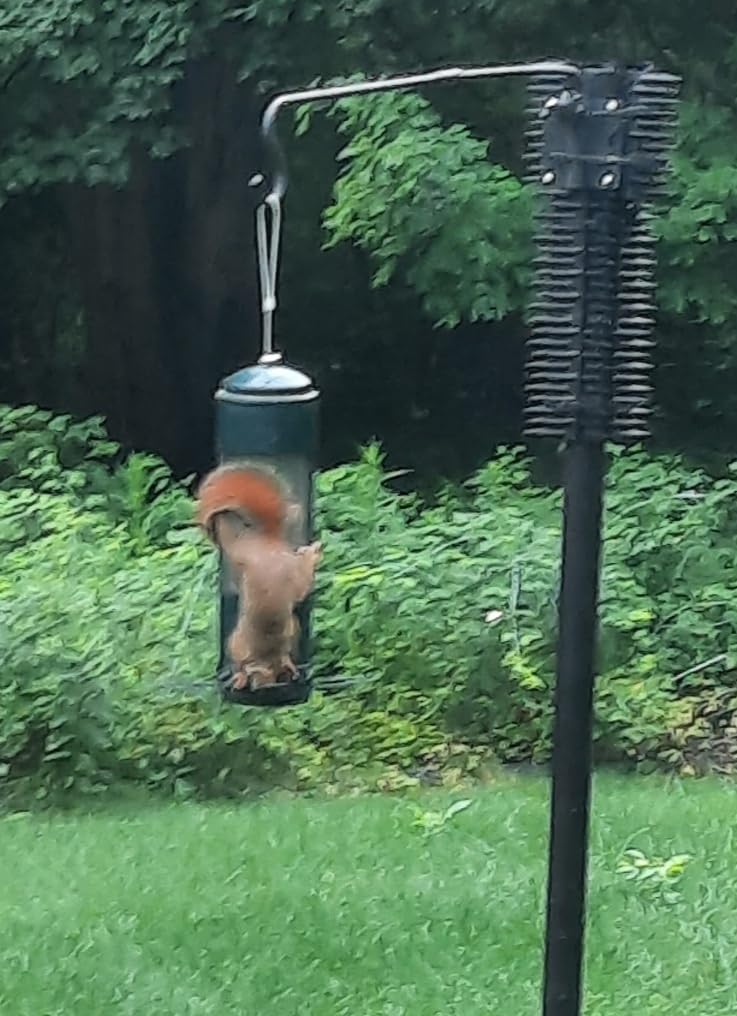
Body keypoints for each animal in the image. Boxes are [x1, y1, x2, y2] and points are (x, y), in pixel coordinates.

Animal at [196, 464, 322, 691]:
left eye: (273, 679)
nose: (257, 687)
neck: (268, 656)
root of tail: (265, 544)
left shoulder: (239, 646)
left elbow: (240, 663)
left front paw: (240, 678)